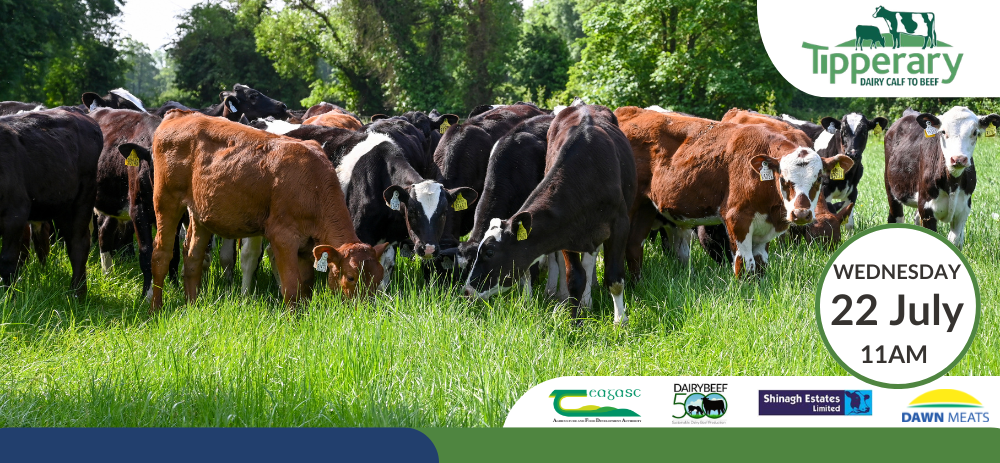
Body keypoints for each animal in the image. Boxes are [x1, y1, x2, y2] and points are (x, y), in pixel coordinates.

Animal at [0, 109, 103, 296]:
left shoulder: (15, 213)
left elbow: (8, 261)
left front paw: (10, 298)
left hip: (84, 195)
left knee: (79, 243)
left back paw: (77, 293)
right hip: (61, 204)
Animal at [147, 110, 388, 311]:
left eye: (378, 277)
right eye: (351, 277)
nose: (367, 310)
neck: (312, 183)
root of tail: (181, 114)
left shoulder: (307, 246)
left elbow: (306, 286)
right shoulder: (283, 237)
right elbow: (291, 287)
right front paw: (293, 320)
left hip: (200, 214)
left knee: (192, 258)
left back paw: (192, 305)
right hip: (166, 200)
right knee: (161, 254)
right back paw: (155, 309)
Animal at [463, 105, 636, 325]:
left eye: (490, 252)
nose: (467, 290)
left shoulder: (620, 225)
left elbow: (614, 279)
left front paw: (620, 321)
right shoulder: (569, 230)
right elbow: (575, 279)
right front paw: (575, 321)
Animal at [615, 106, 853, 278]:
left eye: (819, 179)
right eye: (783, 179)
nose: (801, 214)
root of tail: (628, 111)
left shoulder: (765, 229)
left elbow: (760, 265)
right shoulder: (737, 219)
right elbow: (744, 264)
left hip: (646, 208)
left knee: (634, 247)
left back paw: (638, 283)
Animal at [884, 107, 1000, 247]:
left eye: (975, 132)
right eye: (943, 132)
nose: (958, 158)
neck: (952, 184)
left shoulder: (963, 210)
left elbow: (955, 242)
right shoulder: (926, 208)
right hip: (892, 189)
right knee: (896, 217)